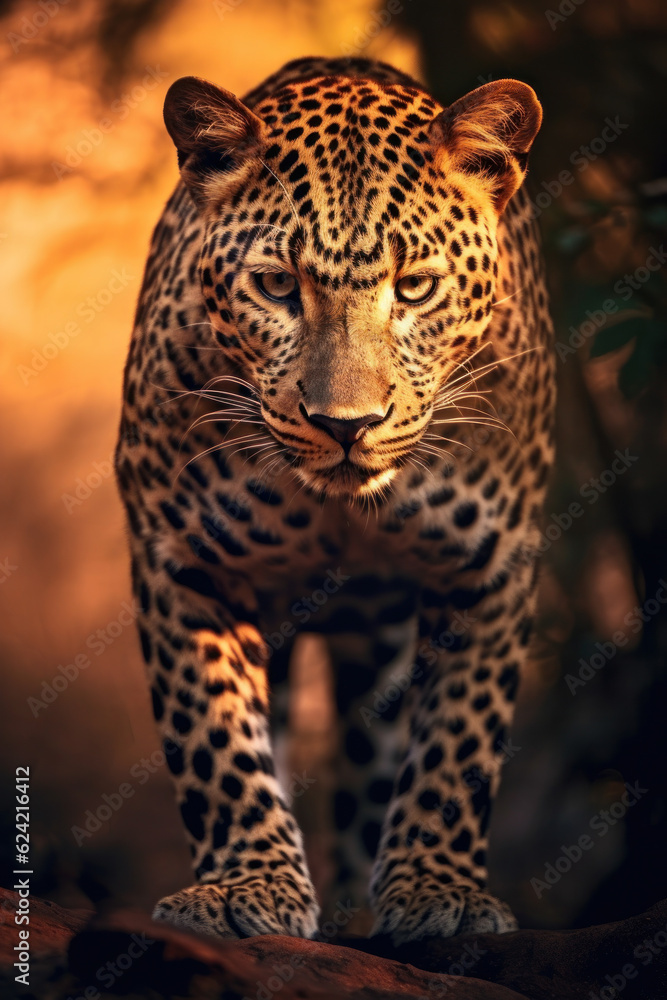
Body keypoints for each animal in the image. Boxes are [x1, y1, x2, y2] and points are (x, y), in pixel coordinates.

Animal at [114, 55, 555, 945]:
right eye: (276, 285)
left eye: (414, 288)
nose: (345, 425)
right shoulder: (183, 559)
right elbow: (216, 736)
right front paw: (245, 885)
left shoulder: (492, 563)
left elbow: (457, 739)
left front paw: (438, 892)